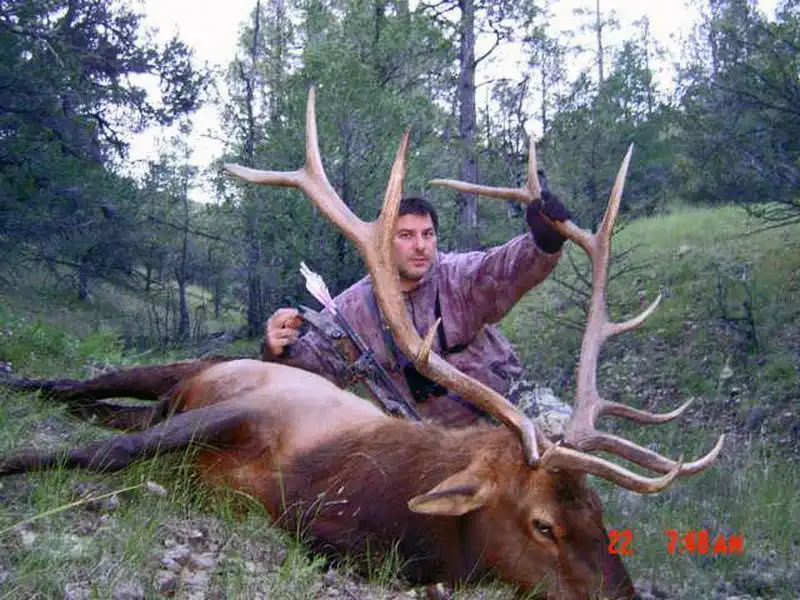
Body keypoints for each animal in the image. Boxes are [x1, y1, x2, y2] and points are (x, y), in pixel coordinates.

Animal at [0, 88, 724, 600]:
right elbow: (104, 454)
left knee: (109, 409)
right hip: (192, 368)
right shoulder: (250, 408)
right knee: (87, 386)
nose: (625, 596)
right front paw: (15, 463)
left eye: (600, 513)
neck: (337, 488)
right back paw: (24, 384)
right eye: (543, 523)